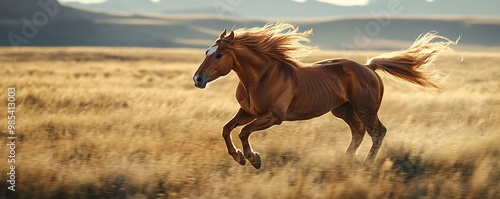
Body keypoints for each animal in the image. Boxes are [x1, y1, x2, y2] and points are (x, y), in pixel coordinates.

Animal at [190, 22, 454, 169]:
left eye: (218, 55)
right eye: (206, 52)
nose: (198, 79)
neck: (262, 77)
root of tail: (369, 67)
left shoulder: (274, 116)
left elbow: (243, 132)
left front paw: (253, 159)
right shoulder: (247, 111)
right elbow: (226, 129)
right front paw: (239, 158)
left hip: (365, 110)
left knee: (377, 132)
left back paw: (367, 164)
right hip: (343, 110)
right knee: (358, 132)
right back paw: (346, 160)